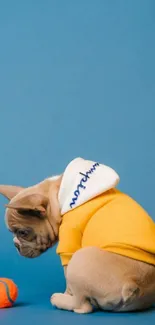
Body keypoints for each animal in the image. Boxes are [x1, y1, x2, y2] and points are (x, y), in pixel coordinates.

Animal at [0, 156, 155, 312]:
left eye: (23, 233)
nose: (15, 244)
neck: (57, 195)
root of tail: (133, 285)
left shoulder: (69, 242)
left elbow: (67, 276)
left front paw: (66, 293)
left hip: (80, 259)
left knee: (82, 306)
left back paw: (61, 300)